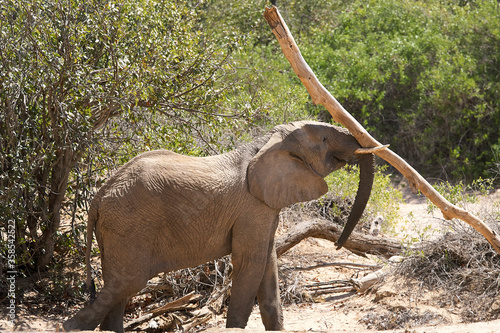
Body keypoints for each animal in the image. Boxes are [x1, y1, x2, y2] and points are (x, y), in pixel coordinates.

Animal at [62, 118, 374, 330]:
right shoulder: (252, 208)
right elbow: (250, 263)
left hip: (116, 229)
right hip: (129, 226)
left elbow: (268, 265)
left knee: (116, 286)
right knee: (126, 283)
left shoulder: (263, 208)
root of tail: (99, 195)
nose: (338, 244)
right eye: (324, 139)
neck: (266, 143)